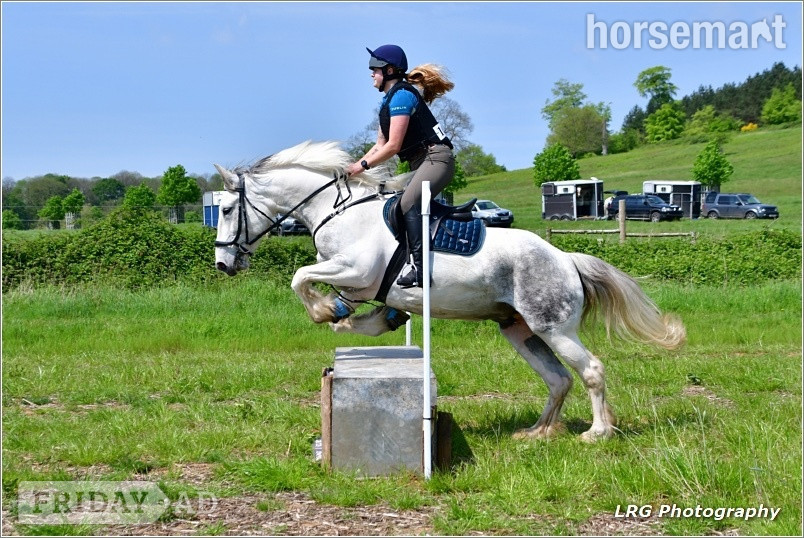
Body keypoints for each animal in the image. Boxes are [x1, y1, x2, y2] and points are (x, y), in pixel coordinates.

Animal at [213, 140, 686, 442]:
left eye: (227, 209)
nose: (222, 264)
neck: (336, 210)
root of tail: (567, 259)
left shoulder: (356, 269)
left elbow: (300, 276)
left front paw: (324, 310)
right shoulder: (358, 281)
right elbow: (341, 302)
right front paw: (357, 316)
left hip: (554, 328)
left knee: (591, 371)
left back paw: (597, 432)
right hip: (519, 330)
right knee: (557, 379)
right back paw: (537, 432)